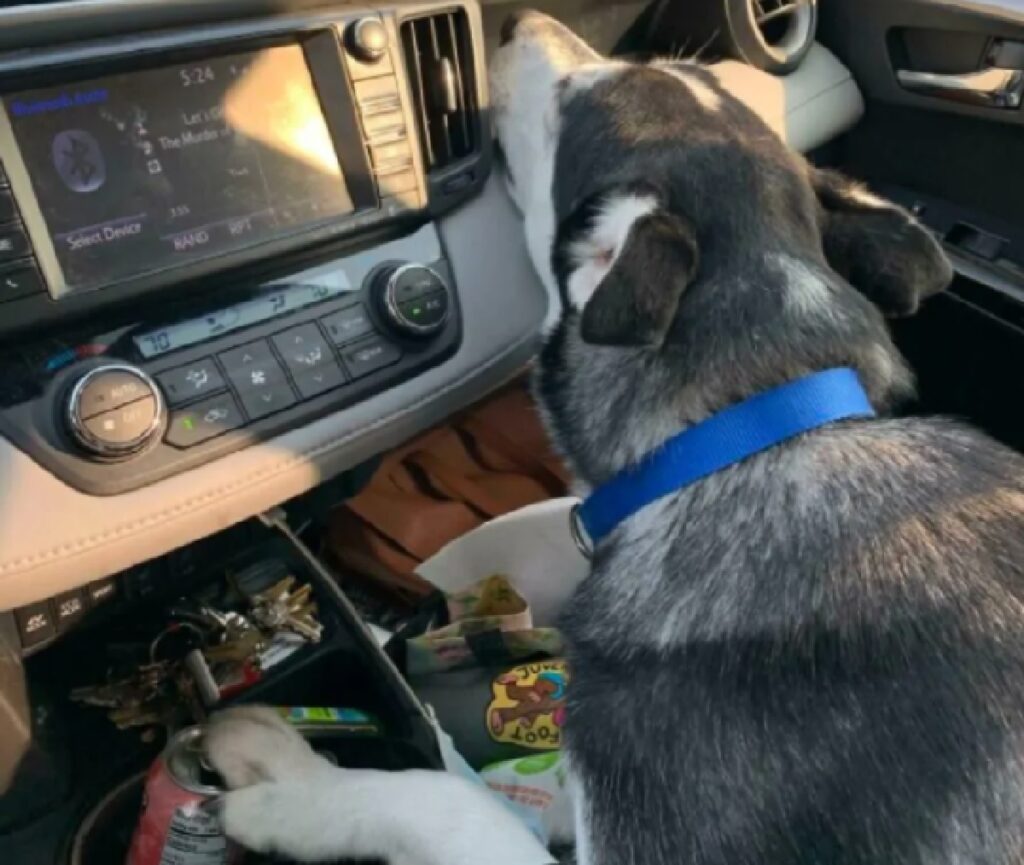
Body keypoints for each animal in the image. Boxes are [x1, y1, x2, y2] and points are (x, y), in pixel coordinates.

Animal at [203, 11, 1024, 863]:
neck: (743, 426)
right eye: (677, 66)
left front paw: (296, 786)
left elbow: (443, 795)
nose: (514, 21)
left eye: (574, 100)